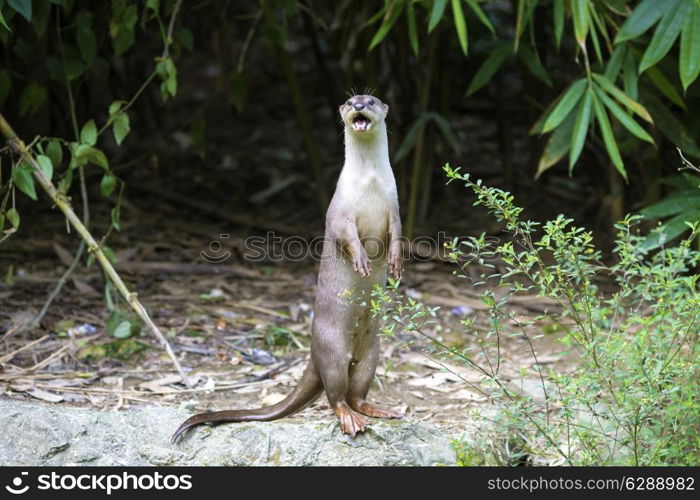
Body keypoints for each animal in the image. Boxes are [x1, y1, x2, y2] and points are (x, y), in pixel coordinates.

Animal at [172, 94, 402, 442]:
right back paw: (350, 420)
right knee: (336, 394)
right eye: (350, 101)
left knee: (357, 391)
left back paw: (379, 410)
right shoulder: (340, 210)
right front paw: (361, 259)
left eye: (372, 100)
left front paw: (397, 263)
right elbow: (345, 235)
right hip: (333, 349)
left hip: (373, 352)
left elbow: (399, 234)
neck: (370, 185)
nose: (359, 104)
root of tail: (313, 355)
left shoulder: (394, 205)